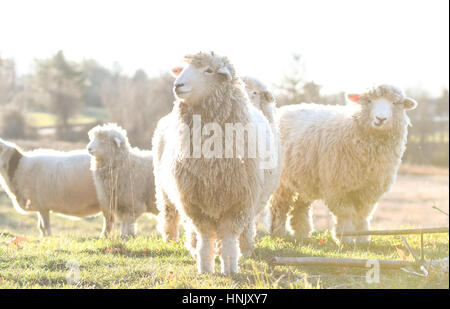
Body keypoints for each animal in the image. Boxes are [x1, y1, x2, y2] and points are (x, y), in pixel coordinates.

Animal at [153, 51, 276, 274]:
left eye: (209, 71)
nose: (177, 85)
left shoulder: (238, 202)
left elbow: (228, 237)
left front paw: (230, 265)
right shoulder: (194, 202)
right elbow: (204, 236)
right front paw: (204, 265)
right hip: (164, 190)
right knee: (171, 216)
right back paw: (176, 241)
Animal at [268, 83, 418, 243]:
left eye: (395, 103)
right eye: (369, 100)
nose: (381, 118)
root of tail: (283, 109)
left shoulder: (370, 188)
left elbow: (362, 214)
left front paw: (363, 238)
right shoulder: (338, 187)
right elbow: (345, 213)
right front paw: (345, 238)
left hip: (304, 177)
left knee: (300, 207)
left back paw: (302, 234)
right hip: (281, 181)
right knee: (278, 206)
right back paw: (277, 233)